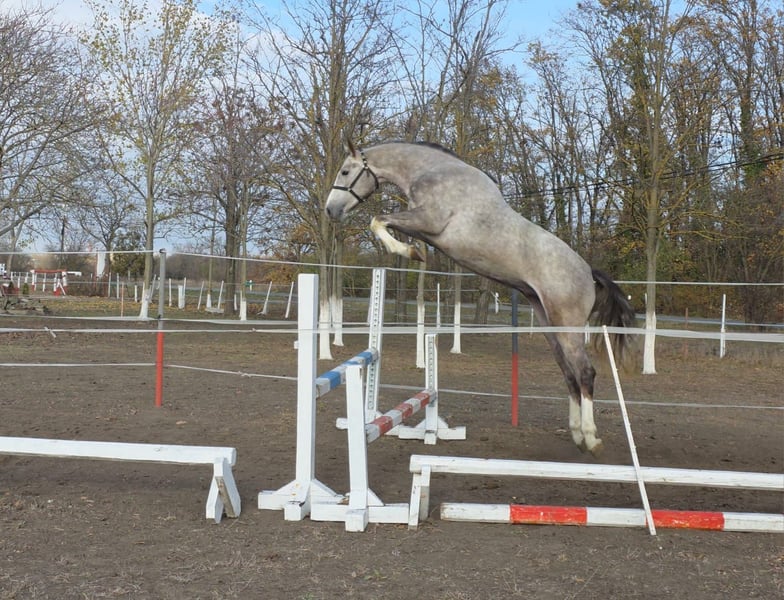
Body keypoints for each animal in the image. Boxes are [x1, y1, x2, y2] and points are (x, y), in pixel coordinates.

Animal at [325, 140, 635, 456]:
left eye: (345, 171)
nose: (331, 210)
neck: (431, 170)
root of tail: (588, 272)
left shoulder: (430, 220)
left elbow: (378, 220)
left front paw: (409, 252)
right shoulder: (423, 227)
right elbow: (384, 223)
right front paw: (412, 251)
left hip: (567, 325)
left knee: (585, 373)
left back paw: (591, 439)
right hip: (549, 324)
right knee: (570, 375)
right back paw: (576, 435)